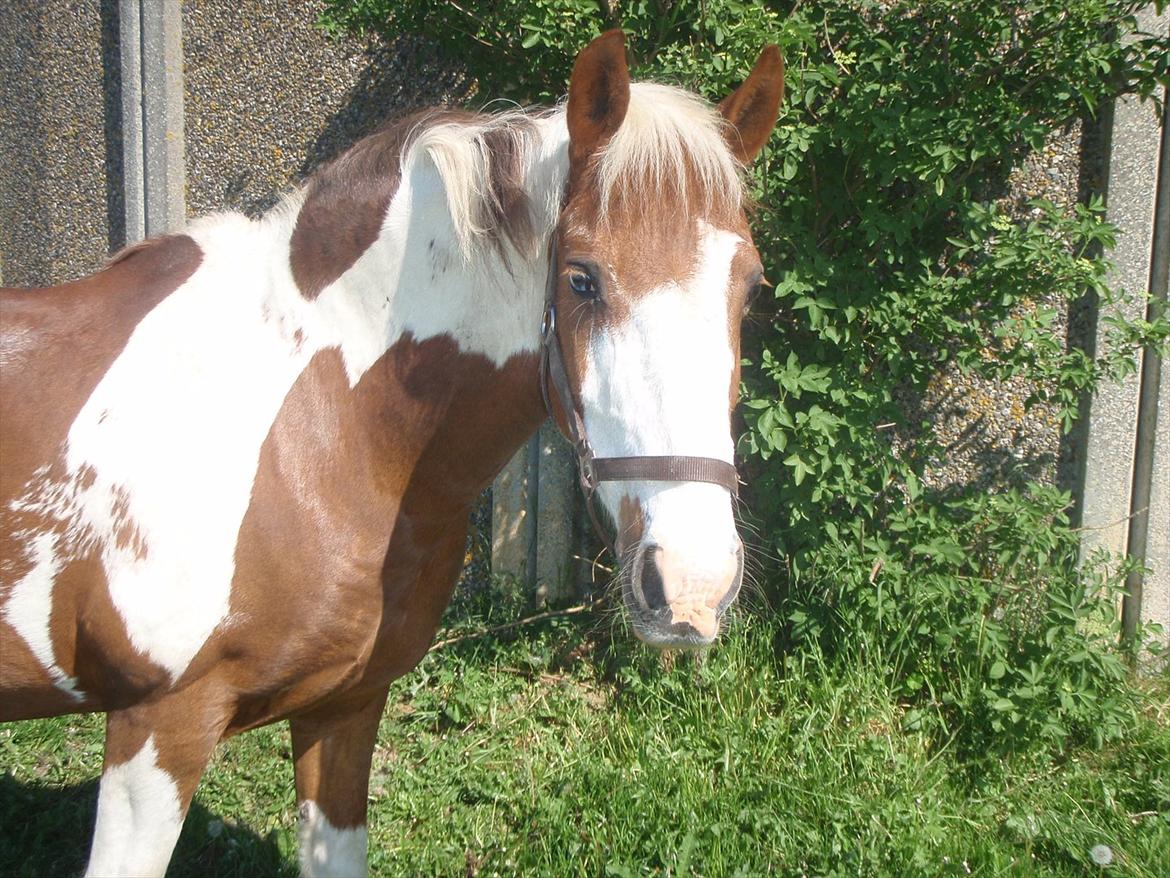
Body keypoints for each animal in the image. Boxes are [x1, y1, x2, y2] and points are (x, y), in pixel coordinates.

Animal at [0, 30, 784, 877]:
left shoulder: (346, 707)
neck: (324, 431)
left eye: (750, 287)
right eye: (581, 279)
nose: (693, 586)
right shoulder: (156, 727)